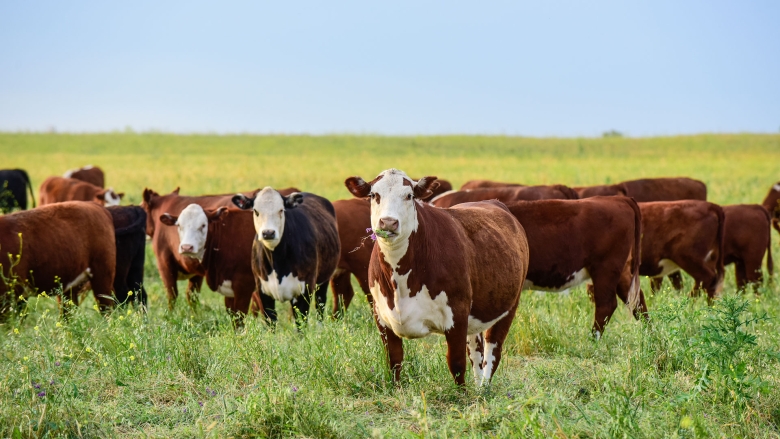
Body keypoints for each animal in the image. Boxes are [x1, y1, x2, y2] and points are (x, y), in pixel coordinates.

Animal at [232, 188, 340, 325]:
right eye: (256, 211)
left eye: (281, 210)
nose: (268, 233)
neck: (277, 262)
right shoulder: (262, 291)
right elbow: (271, 321)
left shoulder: (305, 289)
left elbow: (301, 323)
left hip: (323, 280)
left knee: (320, 306)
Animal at [345, 169, 530, 387]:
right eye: (374, 195)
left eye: (410, 195)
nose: (388, 222)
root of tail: (494, 202)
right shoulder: (381, 315)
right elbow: (394, 360)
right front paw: (396, 389)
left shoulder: (457, 313)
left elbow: (456, 363)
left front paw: (461, 394)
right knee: (475, 351)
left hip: (508, 305)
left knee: (492, 349)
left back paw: (484, 387)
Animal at [505, 197, 646, 337]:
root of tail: (618, 198)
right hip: (621, 271)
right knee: (637, 301)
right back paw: (648, 334)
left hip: (606, 268)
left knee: (606, 305)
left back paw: (593, 340)